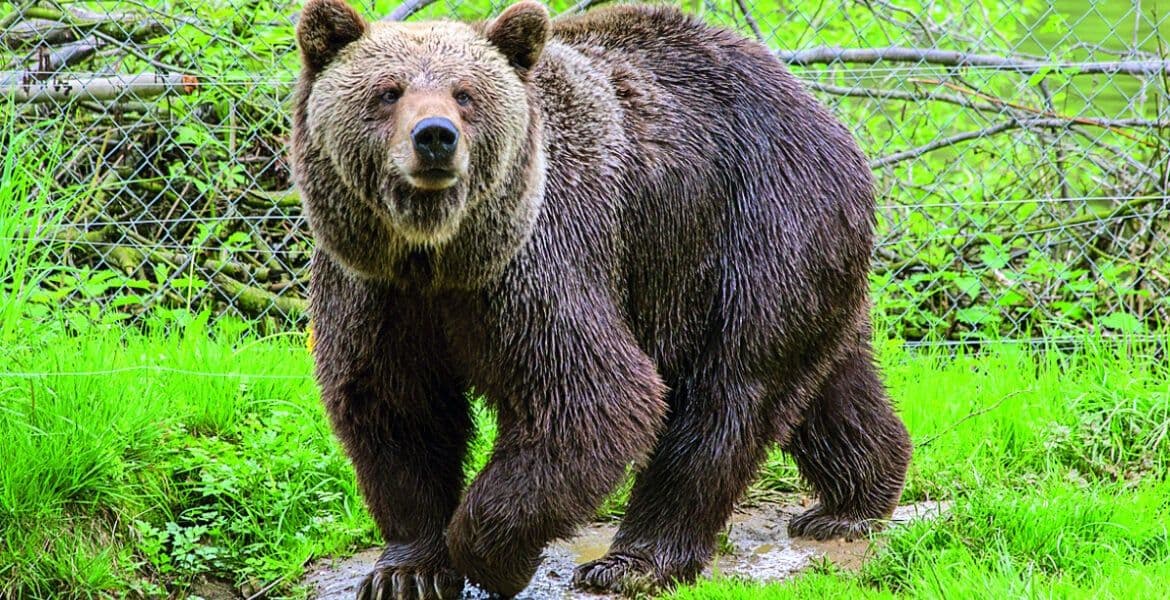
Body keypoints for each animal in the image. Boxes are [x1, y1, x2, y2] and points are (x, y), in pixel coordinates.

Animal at [291, 0, 912, 598]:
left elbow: (593, 398)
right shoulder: (375, 289)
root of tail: (823, 113)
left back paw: (635, 561)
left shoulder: (542, 261)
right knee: (831, 382)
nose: (435, 137)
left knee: (728, 390)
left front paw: (494, 558)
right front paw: (406, 571)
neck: (439, 255)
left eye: (465, 93)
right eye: (388, 90)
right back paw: (852, 502)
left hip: (753, 228)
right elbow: (397, 410)